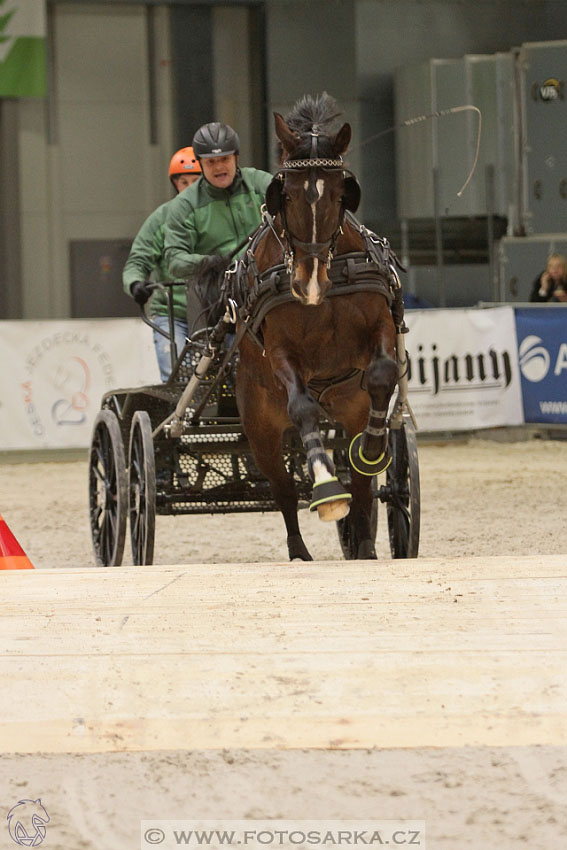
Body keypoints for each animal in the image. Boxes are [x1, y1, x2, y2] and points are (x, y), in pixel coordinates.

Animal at [227, 93, 404, 560]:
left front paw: (375, 447)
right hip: (260, 426)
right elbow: (303, 408)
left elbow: (382, 374)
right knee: (284, 490)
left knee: (363, 489)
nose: (307, 283)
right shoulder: (282, 353)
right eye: (284, 194)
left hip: (348, 407)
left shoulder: (379, 327)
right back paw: (299, 551)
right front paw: (326, 489)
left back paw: (365, 546)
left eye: (343, 192)